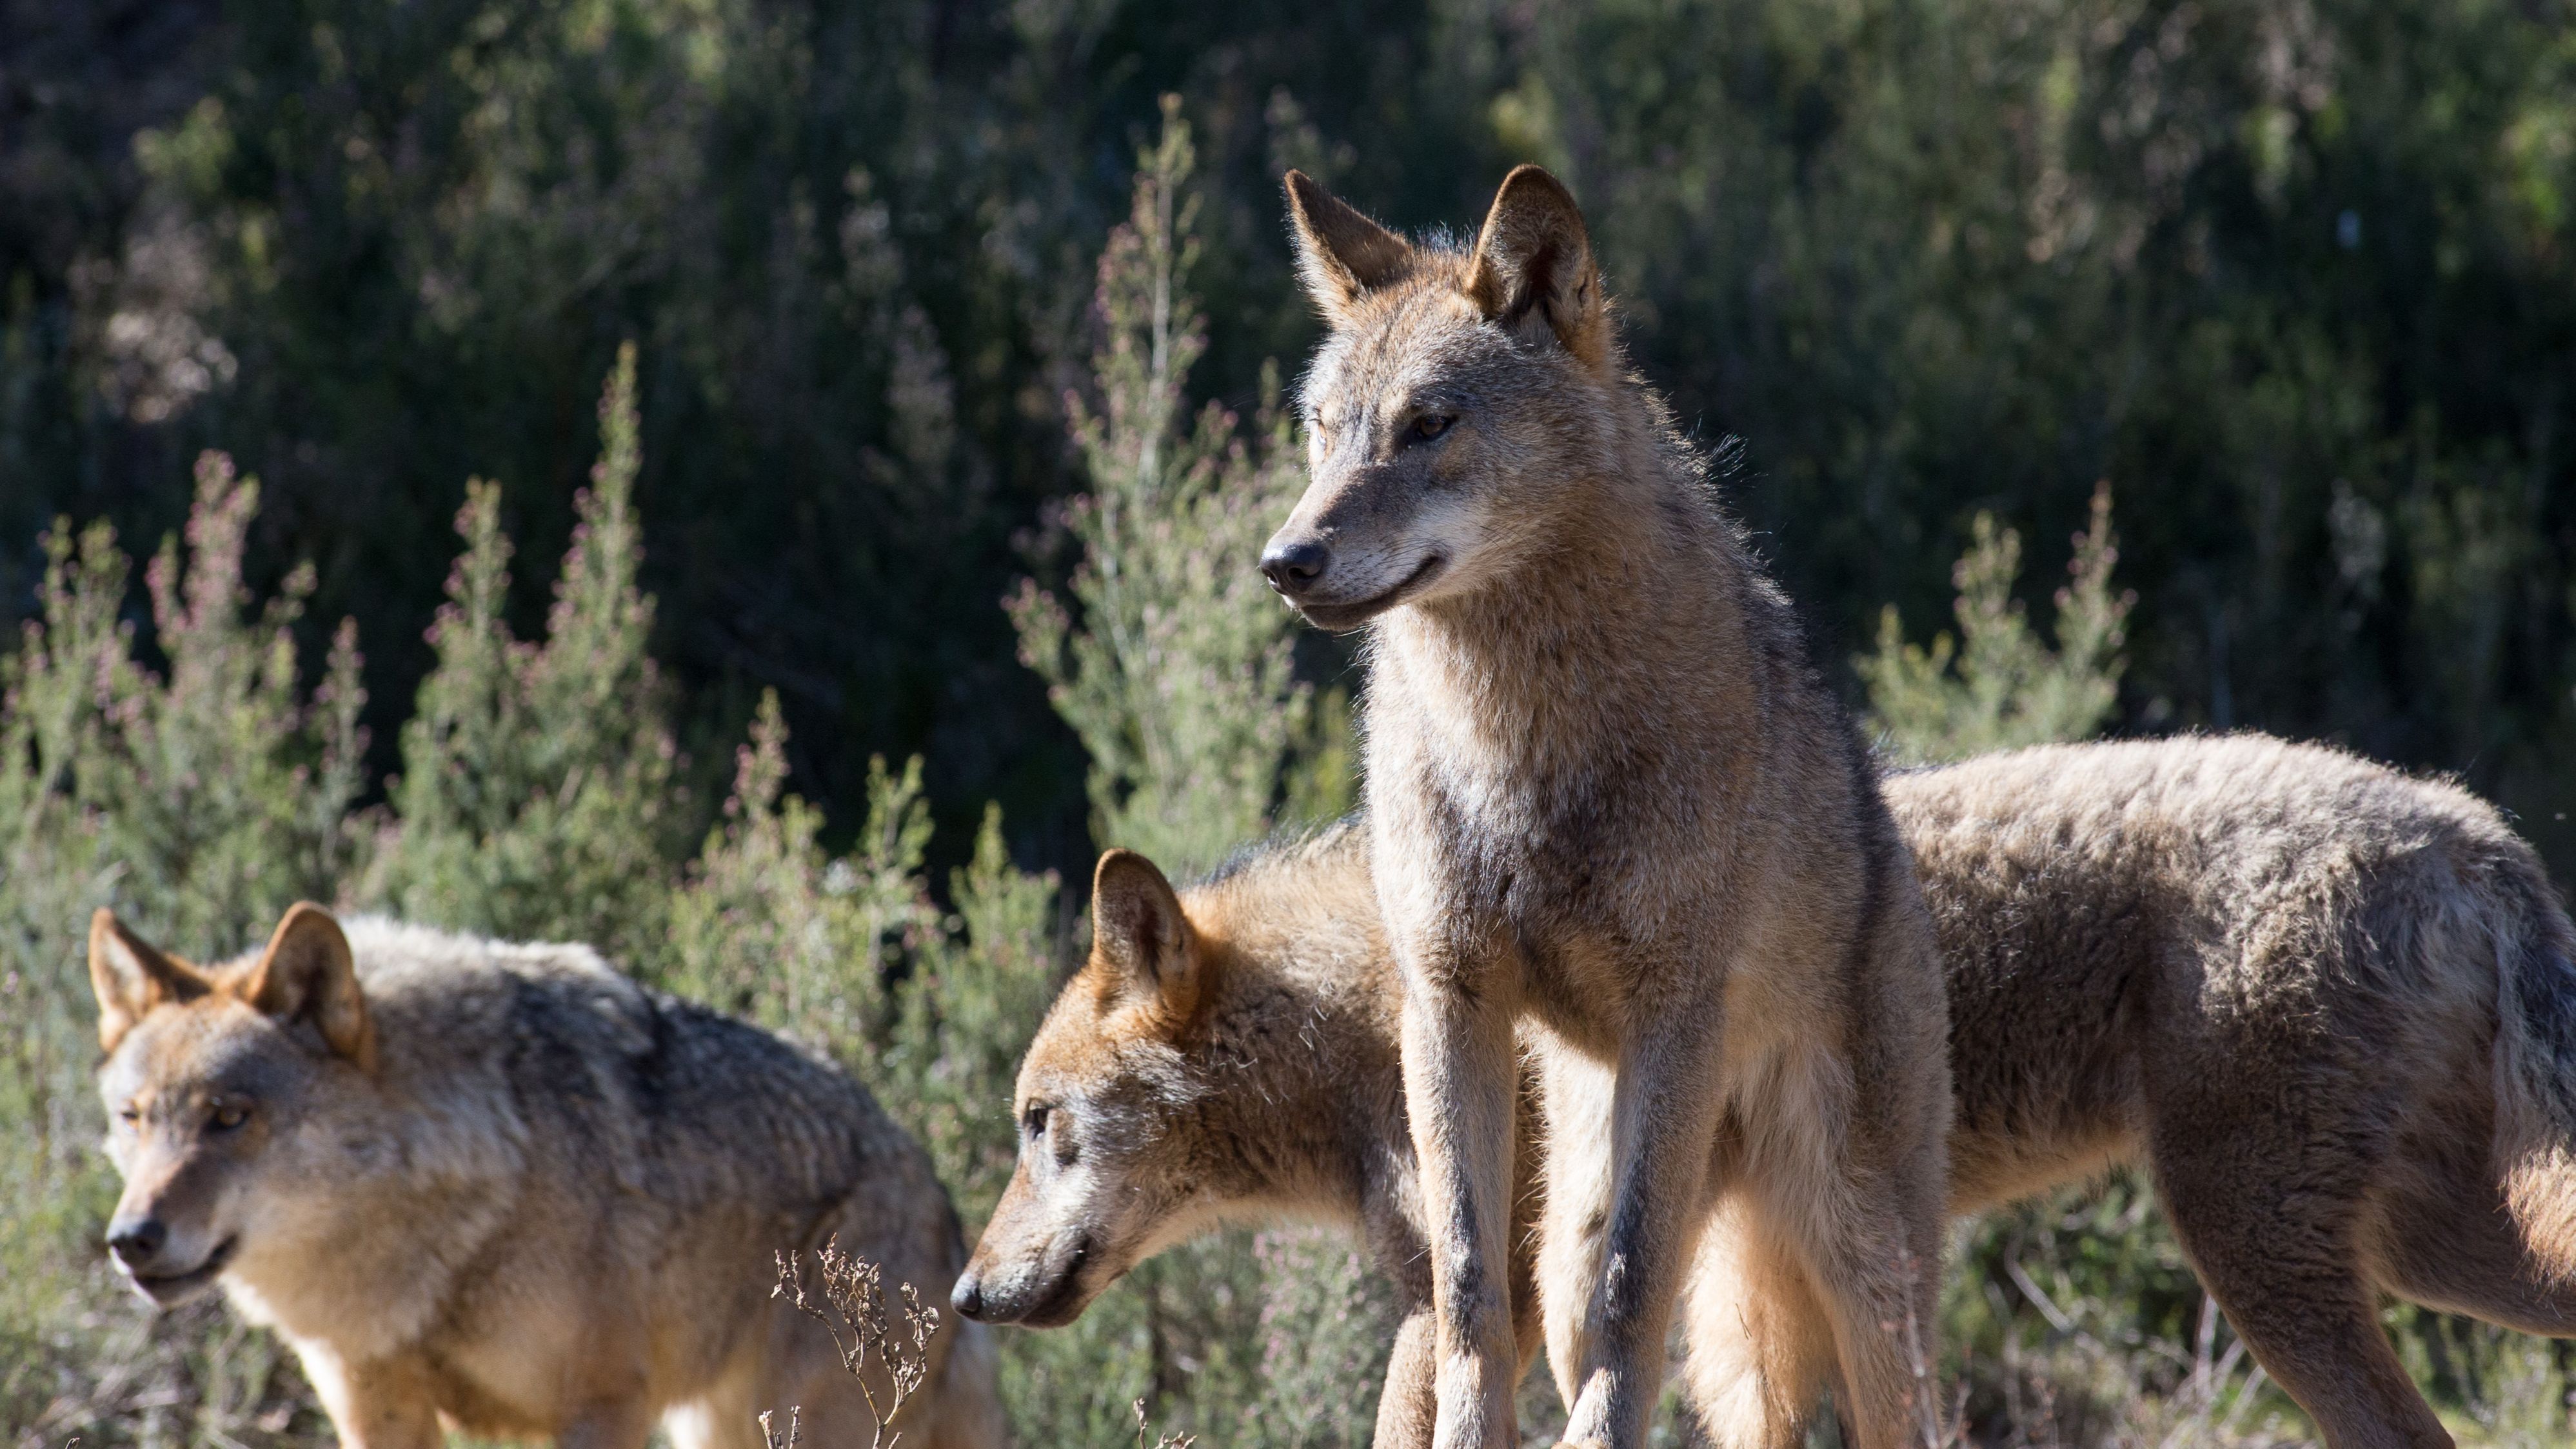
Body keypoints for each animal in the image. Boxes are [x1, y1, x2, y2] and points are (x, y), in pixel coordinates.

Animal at [90, 901, 1005, 1449]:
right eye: (133, 1118)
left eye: (230, 1116)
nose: (131, 1239)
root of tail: (938, 1192)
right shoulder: (377, 1409)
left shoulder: (599, 1404)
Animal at [958, 735, 2576, 1449]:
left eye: (1039, 1129)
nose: (967, 1294)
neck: (1369, 1012)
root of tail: (2472, 827)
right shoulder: (1681, 1282)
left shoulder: (1490, 1305)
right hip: (2418, 1253)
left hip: (2263, 1258)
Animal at [1255, 165, 1952, 1449]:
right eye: (1322, 431)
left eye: (1428, 425)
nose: (1285, 560)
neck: (1517, 749)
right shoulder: (1449, 1004)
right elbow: (1467, 1291)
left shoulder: (1675, 1011)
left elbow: (1639, 1293)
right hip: (1581, 1205)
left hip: (1863, 1277)